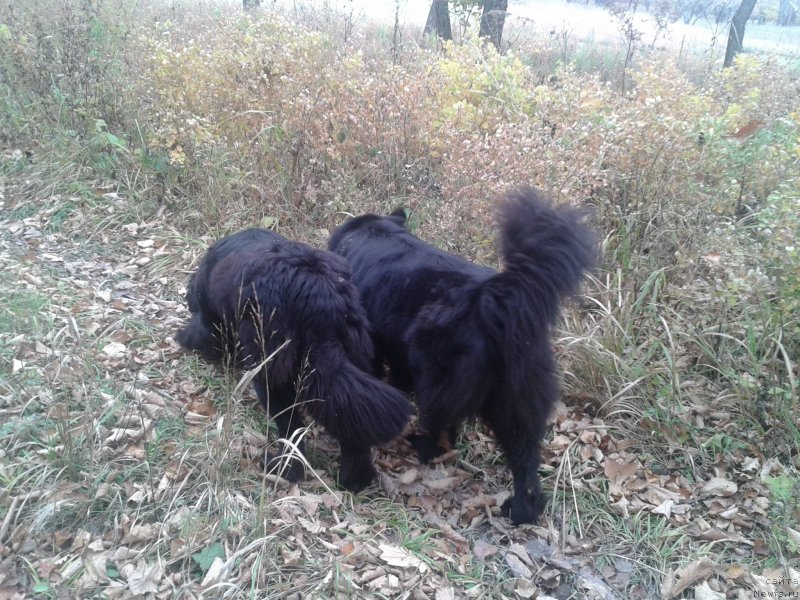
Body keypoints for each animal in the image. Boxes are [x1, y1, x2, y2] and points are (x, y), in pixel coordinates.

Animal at [177, 230, 410, 492]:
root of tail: (319, 295)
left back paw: (284, 469)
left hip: (271, 372)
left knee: (290, 427)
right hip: (353, 358)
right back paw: (353, 480)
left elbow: (202, 335)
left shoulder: (209, 321)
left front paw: (181, 338)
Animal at [328, 190, 596, 524]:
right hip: (518, 402)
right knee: (525, 460)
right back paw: (523, 510)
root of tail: (501, 300)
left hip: (438, 381)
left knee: (443, 430)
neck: (372, 231)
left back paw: (423, 447)